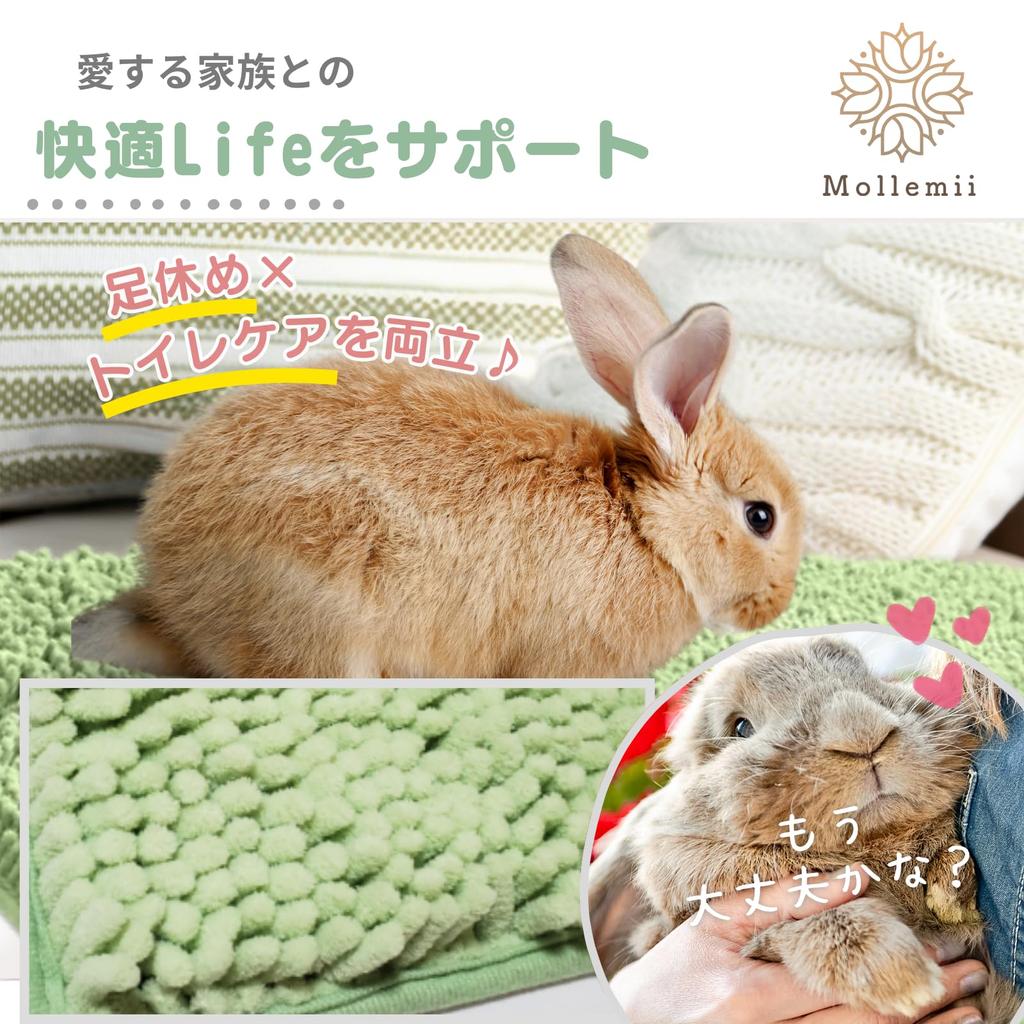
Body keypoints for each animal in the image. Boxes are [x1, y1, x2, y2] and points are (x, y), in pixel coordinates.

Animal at [588, 636, 1022, 1023]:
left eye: (869, 676)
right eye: (740, 727)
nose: (862, 731)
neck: (872, 843)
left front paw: (950, 898)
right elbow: (810, 924)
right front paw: (901, 979)